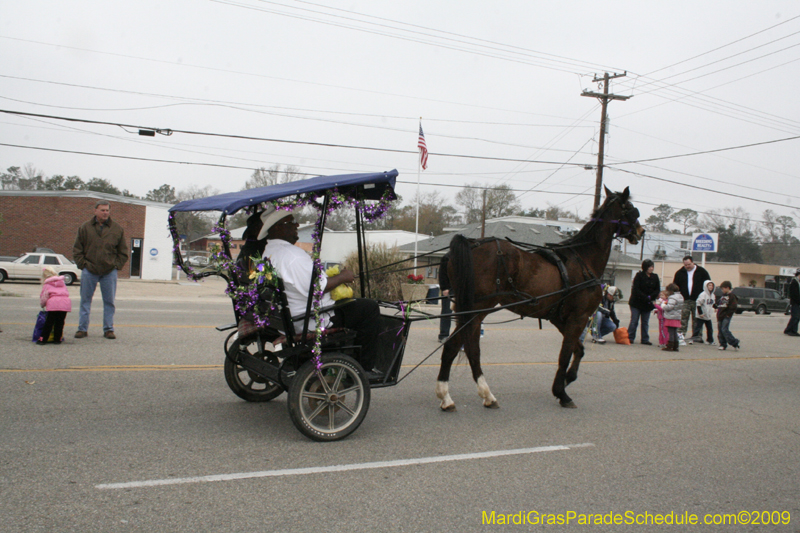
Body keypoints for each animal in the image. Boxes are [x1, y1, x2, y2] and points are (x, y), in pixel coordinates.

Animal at [438, 187, 644, 412]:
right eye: (631, 209)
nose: (641, 231)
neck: (583, 258)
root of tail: (472, 244)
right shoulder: (578, 317)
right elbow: (565, 355)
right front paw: (562, 392)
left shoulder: (560, 318)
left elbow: (578, 350)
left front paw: (567, 380)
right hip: (477, 309)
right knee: (460, 347)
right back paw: (457, 395)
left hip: (471, 310)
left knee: (464, 348)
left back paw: (471, 395)